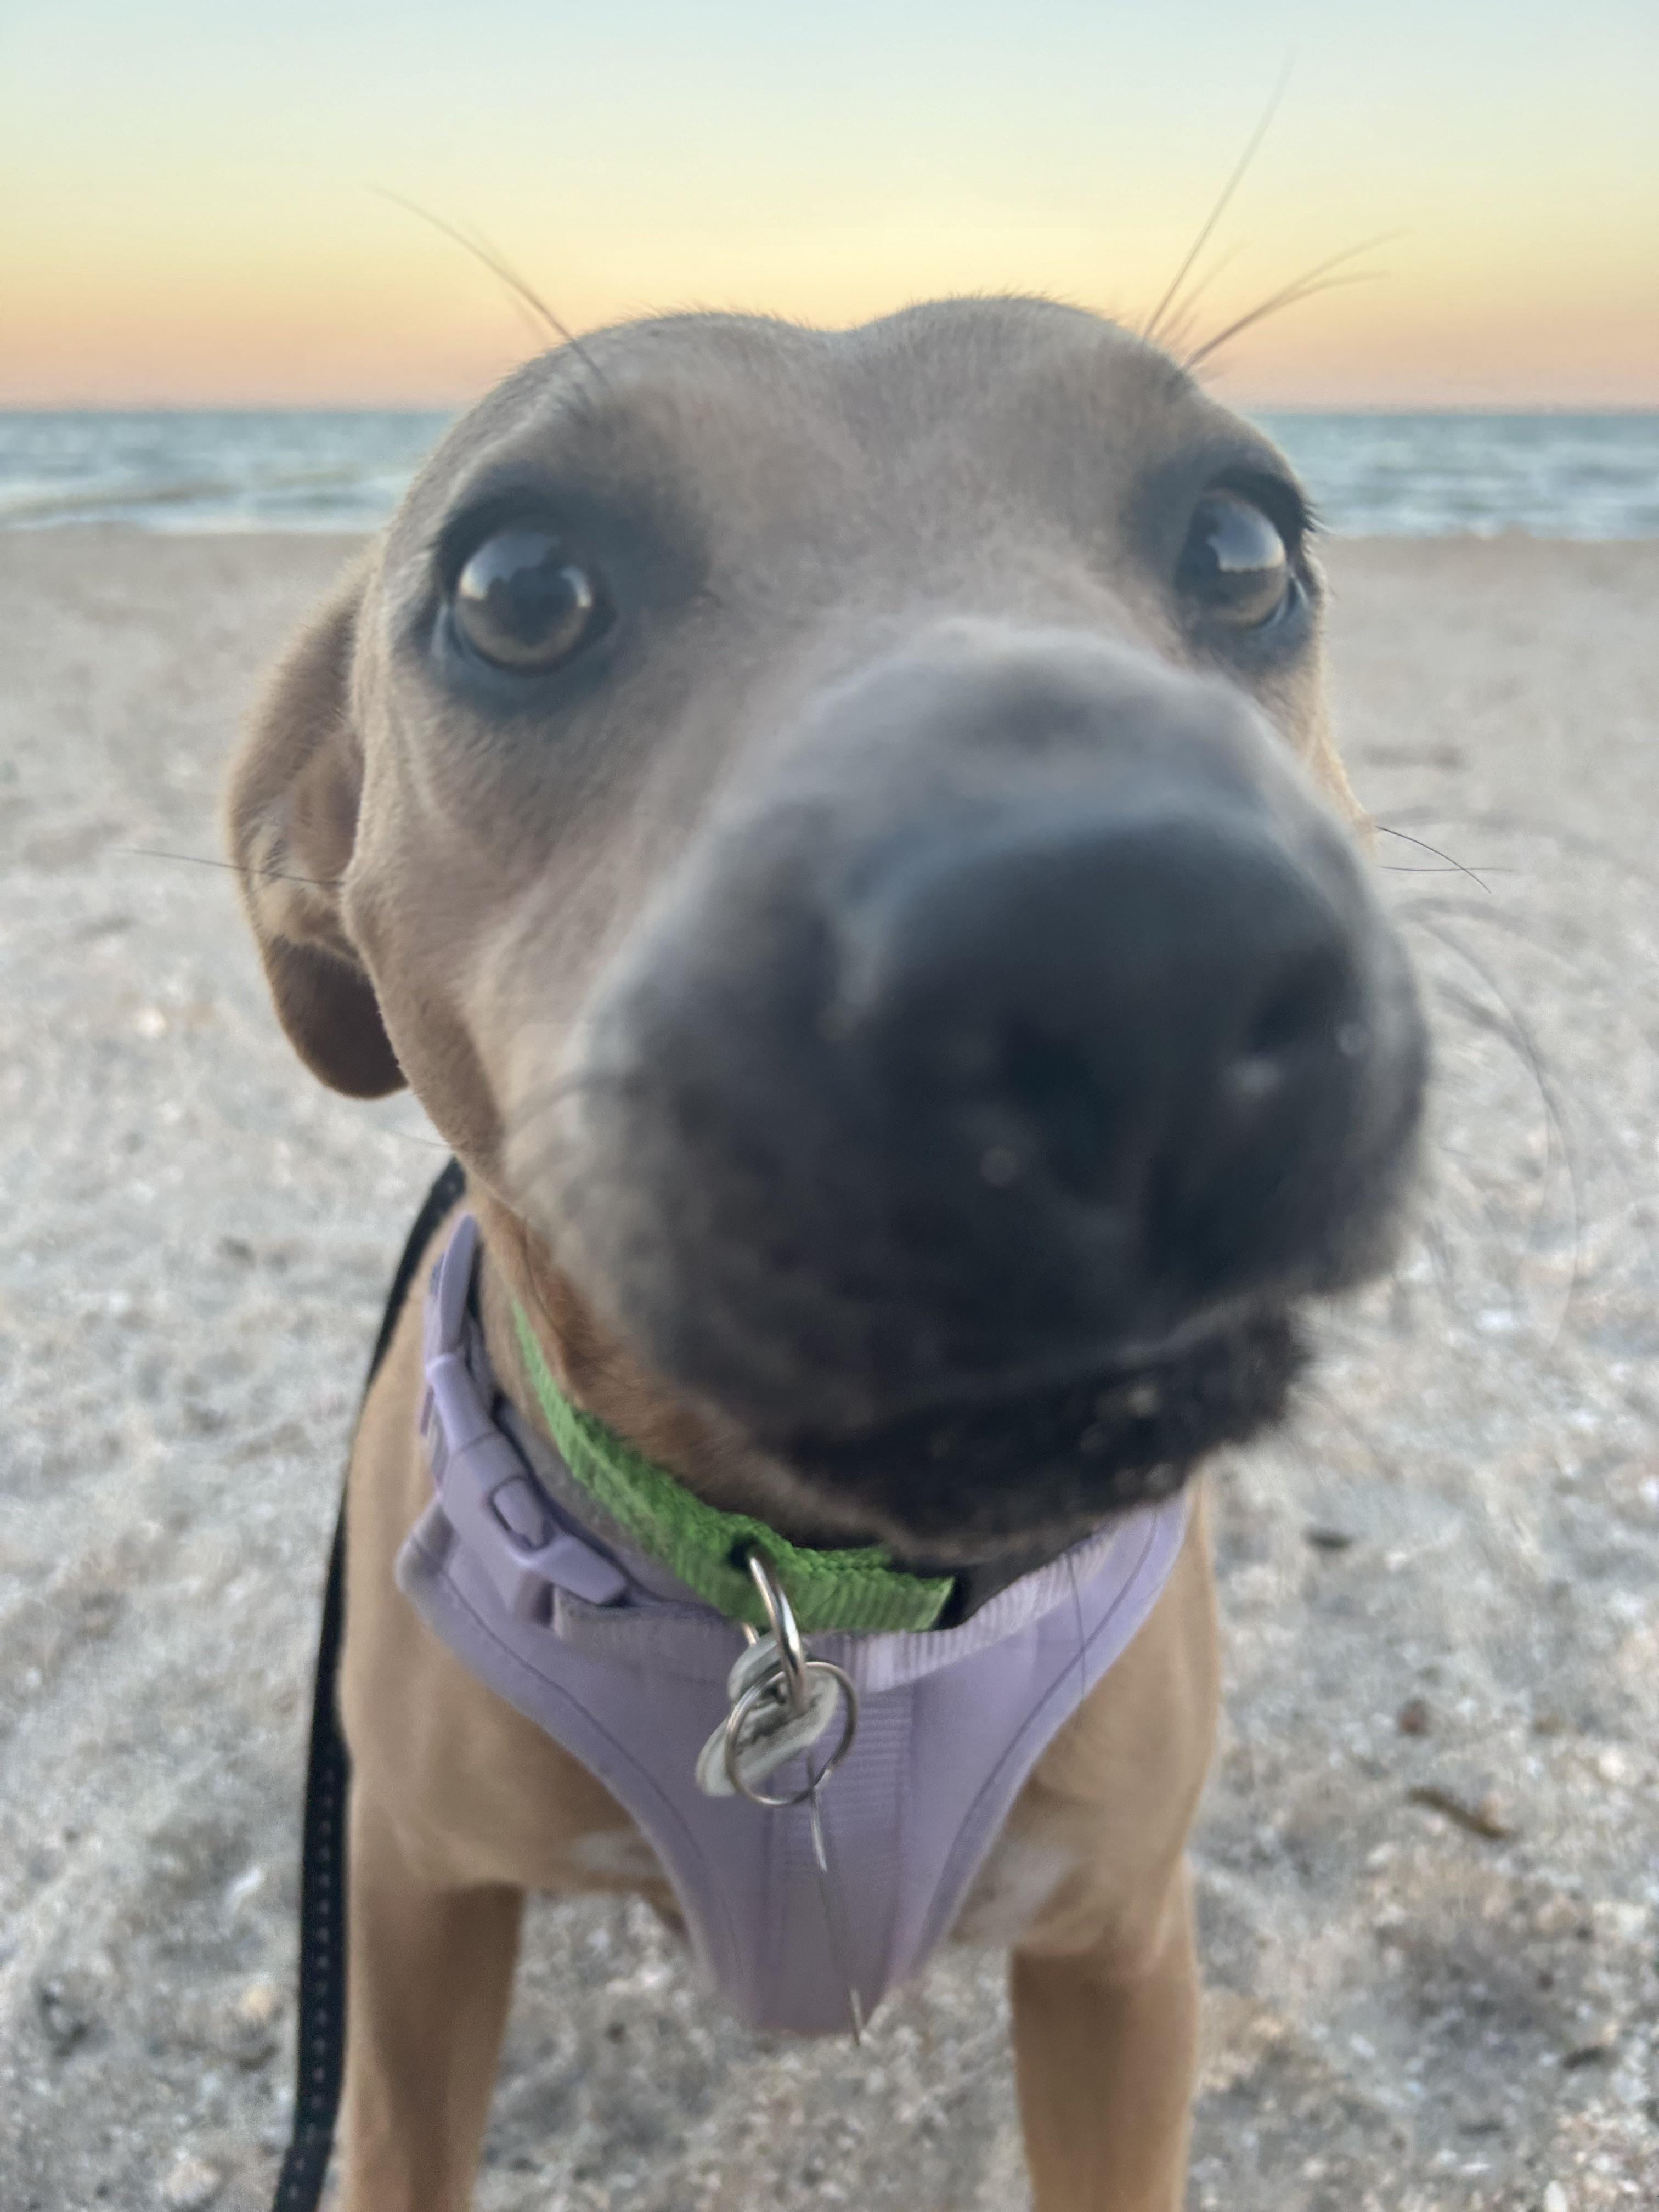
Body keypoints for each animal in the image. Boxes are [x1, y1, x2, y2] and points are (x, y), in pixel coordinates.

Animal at [226, 297, 1426, 2211]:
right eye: (519, 590)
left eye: (1246, 549)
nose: (1136, 955)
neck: (810, 1590)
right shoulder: (409, 1908)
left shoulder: (1119, 1957)